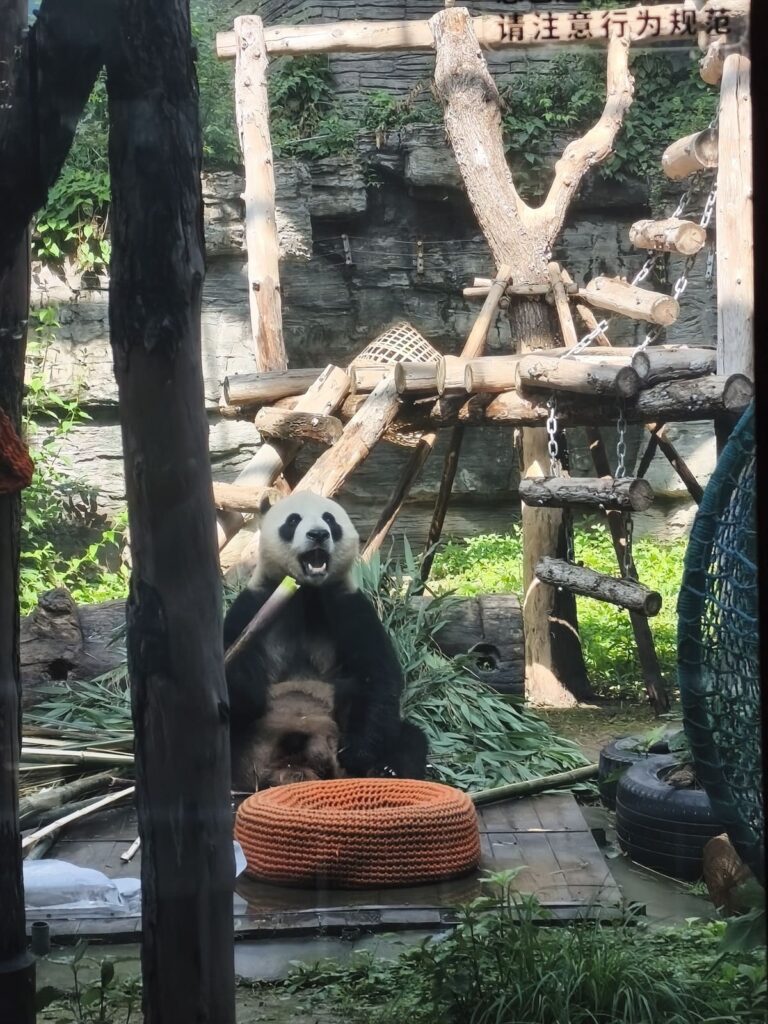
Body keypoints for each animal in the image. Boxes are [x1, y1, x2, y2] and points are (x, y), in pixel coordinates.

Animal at [224, 491, 428, 787]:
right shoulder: (254, 604)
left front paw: (358, 753)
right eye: (293, 520)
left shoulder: (348, 606)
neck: (306, 591)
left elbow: (377, 675)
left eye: (330, 520)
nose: (319, 534)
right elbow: (239, 686)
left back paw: (385, 771)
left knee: (409, 738)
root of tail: (294, 767)